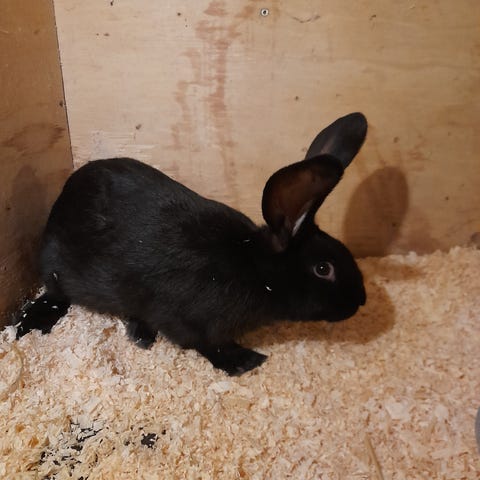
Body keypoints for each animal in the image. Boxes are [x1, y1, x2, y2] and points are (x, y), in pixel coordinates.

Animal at [16, 112, 368, 375]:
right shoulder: (192, 323)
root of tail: (61, 202)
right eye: (323, 269)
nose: (361, 301)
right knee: (56, 294)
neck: (253, 266)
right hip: (59, 270)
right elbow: (207, 345)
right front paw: (245, 361)